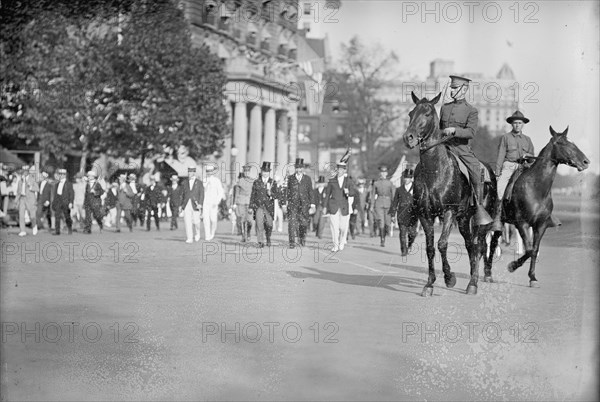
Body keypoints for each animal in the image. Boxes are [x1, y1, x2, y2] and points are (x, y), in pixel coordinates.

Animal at [404, 93, 496, 296]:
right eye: (411, 113)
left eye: (428, 113)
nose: (409, 137)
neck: (435, 170)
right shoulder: (425, 214)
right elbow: (430, 247)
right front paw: (429, 284)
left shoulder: (448, 212)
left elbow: (442, 244)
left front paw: (449, 278)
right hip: (463, 219)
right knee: (470, 245)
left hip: (478, 220)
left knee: (478, 246)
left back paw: (473, 283)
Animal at [486, 125, 588, 286]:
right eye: (563, 143)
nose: (585, 161)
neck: (536, 188)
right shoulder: (522, 224)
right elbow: (528, 250)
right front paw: (512, 266)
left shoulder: (540, 226)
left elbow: (534, 250)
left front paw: (532, 277)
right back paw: (486, 273)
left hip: (501, 223)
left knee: (494, 242)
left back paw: (489, 272)